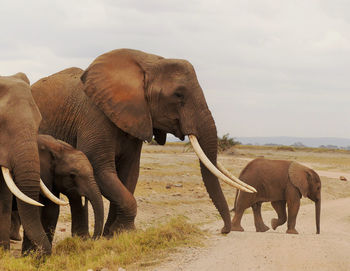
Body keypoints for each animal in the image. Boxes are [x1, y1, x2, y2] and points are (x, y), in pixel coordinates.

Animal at [30, 48, 254, 236]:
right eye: (178, 94)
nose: (224, 230)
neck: (148, 63)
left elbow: (129, 173)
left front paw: (112, 234)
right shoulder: (94, 116)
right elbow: (101, 169)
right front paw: (124, 233)